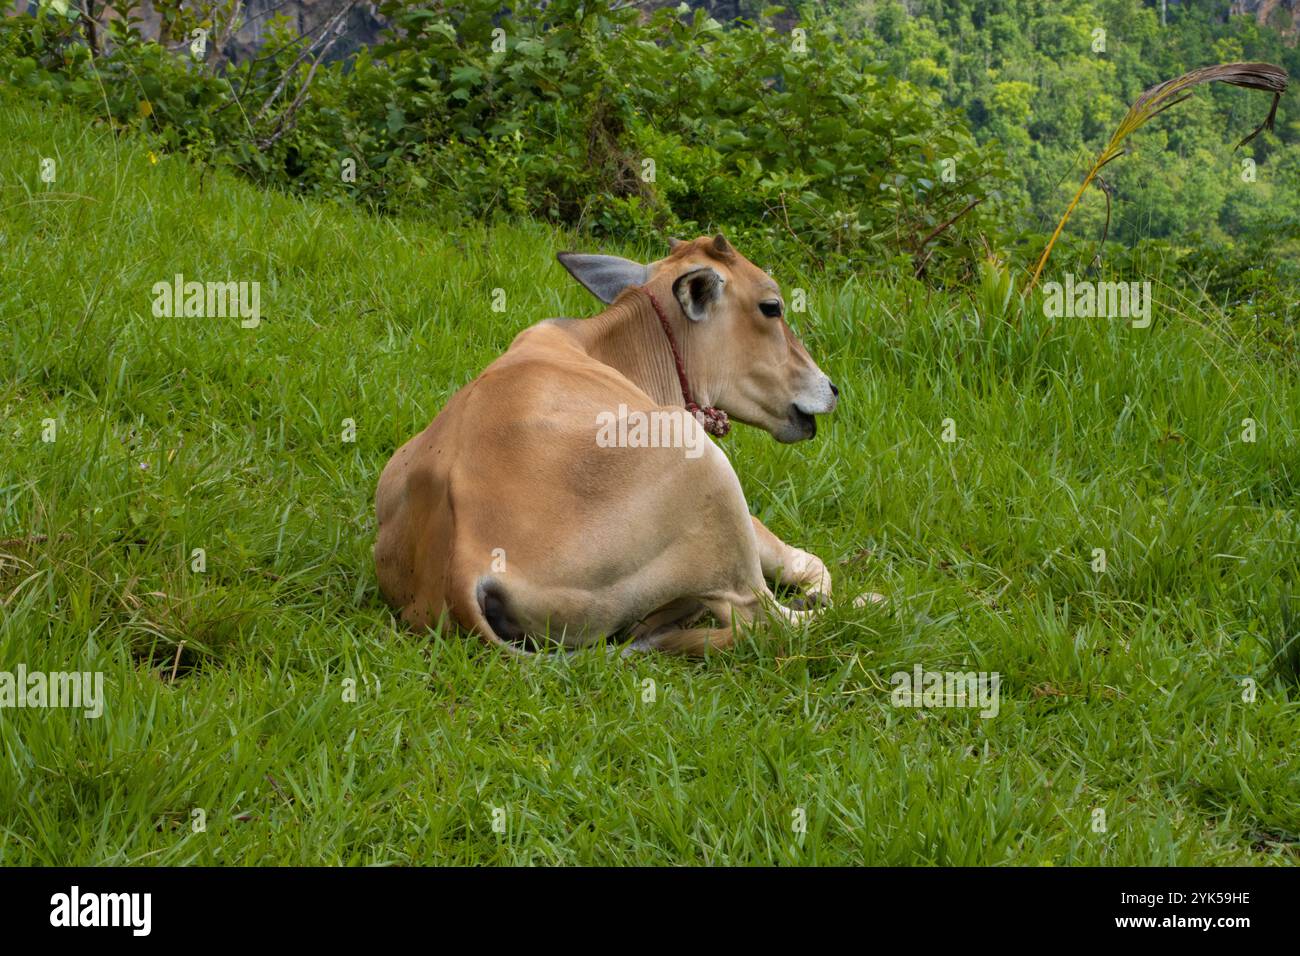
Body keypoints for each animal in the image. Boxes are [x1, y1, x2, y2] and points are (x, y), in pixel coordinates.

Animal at [371, 234, 873, 655]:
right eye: (772, 307)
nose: (831, 388)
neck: (606, 346)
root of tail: (463, 569)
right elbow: (806, 561)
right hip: (705, 471)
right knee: (763, 618)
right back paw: (866, 605)